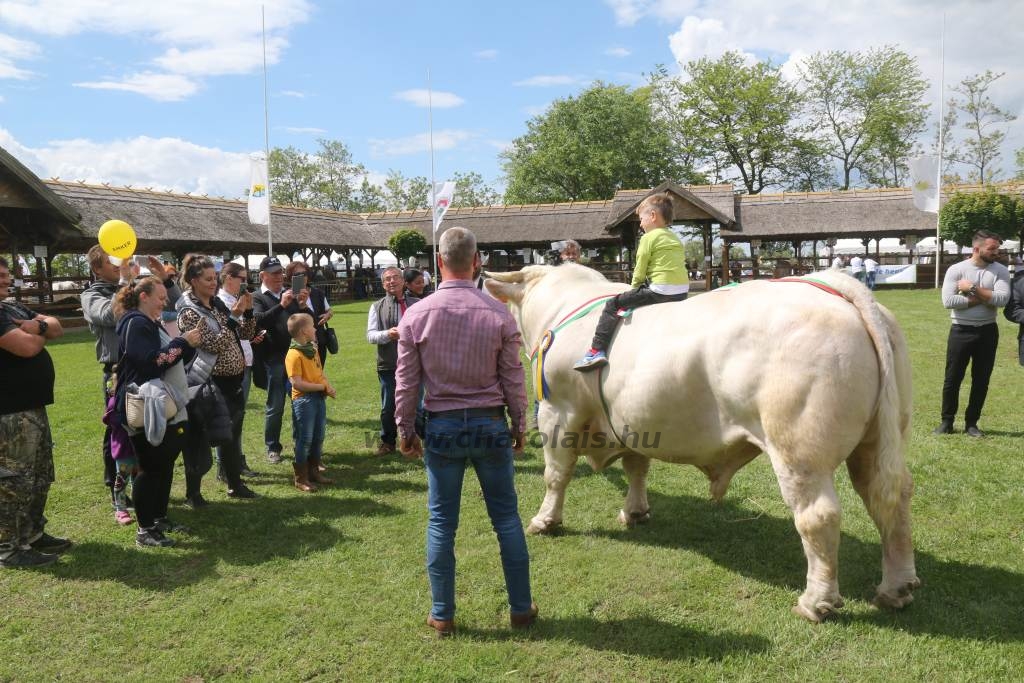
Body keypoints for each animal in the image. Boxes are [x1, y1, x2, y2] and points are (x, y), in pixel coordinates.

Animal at [485, 264, 921, 622]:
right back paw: (896, 587)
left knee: (819, 516)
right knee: (891, 498)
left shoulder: (558, 412)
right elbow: (636, 466)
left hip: (800, 451)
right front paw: (635, 511)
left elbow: (556, 475)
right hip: (880, 437)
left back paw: (817, 602)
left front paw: (546, 520)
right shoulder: (632, 420)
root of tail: (833, 288)